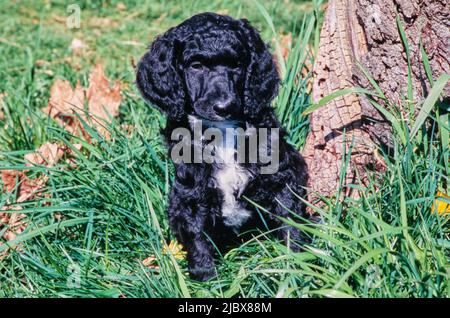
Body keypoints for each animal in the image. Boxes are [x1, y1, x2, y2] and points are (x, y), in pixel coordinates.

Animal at [135, 12, 308, 280]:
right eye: (196, 66)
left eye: (236, 65)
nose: (223, 106)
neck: (223, 130)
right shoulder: (191, 190)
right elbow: (196, 233)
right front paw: (206, 277)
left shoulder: (281, 175)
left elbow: (291, 220)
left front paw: (296, 266)